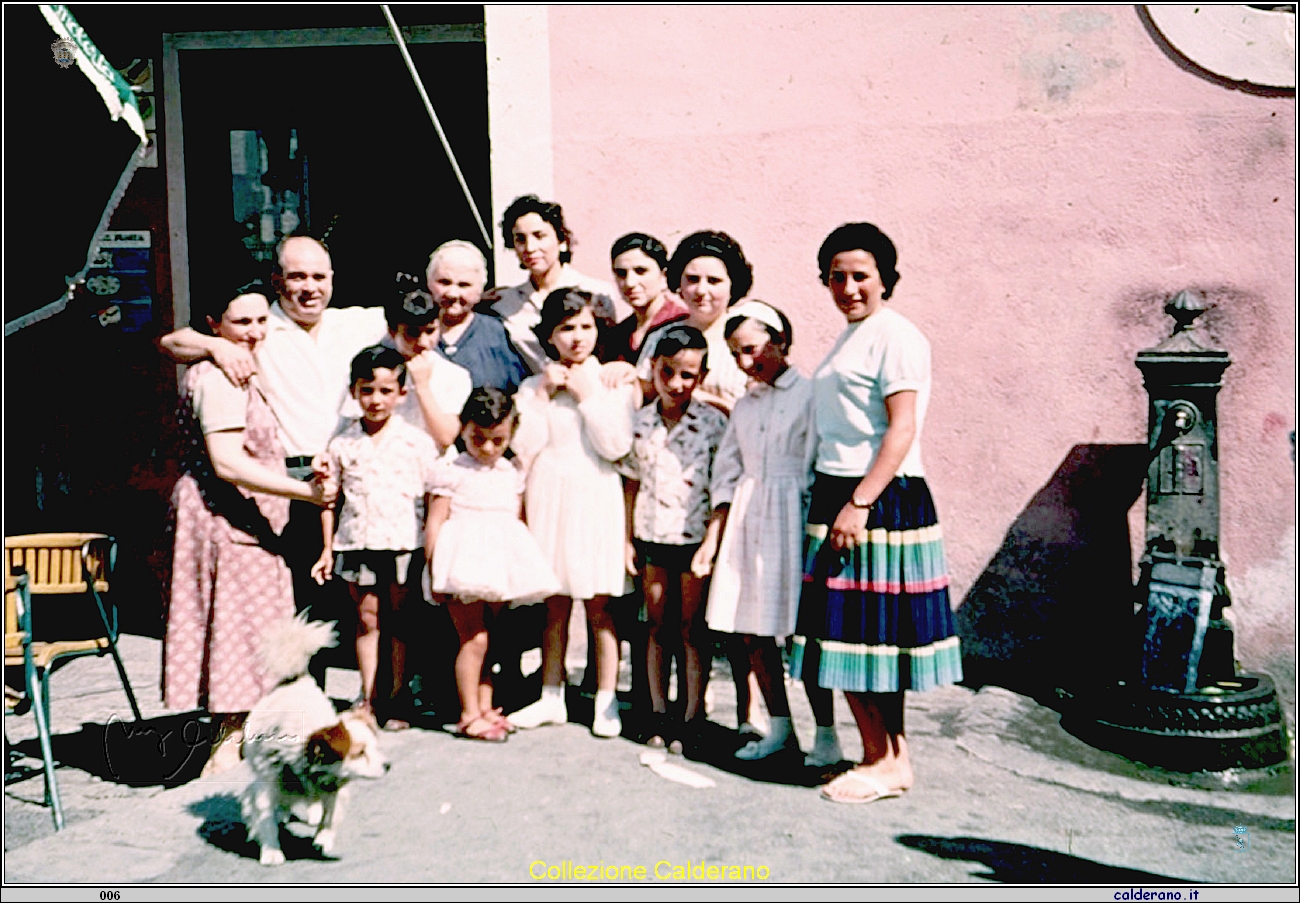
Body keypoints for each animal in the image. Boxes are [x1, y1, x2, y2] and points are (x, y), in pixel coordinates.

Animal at [239, 615, 387, 867]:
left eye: (376, 747)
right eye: (359, 753)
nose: (388, 765)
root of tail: (297, 679)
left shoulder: (334, 786)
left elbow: (330, 815)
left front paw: (323, 839)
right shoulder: (266, 785)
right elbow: (265, 819)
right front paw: (271, 852)